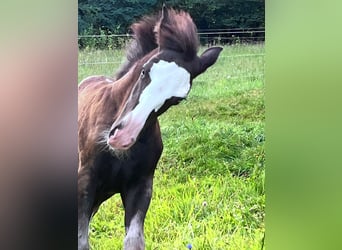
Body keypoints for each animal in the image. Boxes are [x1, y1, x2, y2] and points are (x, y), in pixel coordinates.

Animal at [77, 6, 222, 250]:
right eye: (144, 71)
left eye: (177, 99)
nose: (123, 137)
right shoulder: (85, 181)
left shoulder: (141, 186)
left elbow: (134, 240)